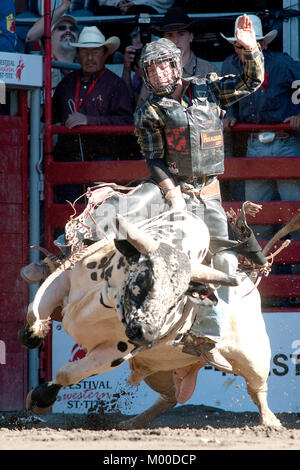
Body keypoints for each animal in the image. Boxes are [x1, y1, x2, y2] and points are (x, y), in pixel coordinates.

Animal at [19, 209, 298, 430]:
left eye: (178, 297)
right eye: (143, 278)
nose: (147, 333)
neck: (106, 299)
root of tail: (249, 279)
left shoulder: (118, 350)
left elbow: (67, 373)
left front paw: (40, 397)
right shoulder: (63, 279)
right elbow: (36, 310)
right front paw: (33, 334)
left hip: (254, 356)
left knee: (257, 388)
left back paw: (270, 422)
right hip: (159, 367)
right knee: (170, 397)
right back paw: (134, 422)